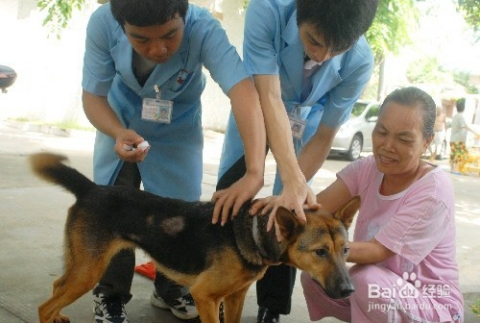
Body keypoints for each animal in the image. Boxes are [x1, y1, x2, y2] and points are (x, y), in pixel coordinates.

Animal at [30, 153, 358, 322]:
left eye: (345, 250)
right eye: (320, 252)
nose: (349, 291)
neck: (250, 232)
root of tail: (91, 188)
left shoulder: (234, 297)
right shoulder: (205, 296)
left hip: (82, 265)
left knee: (56, 288)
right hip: (90, 271)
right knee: (45, 306)